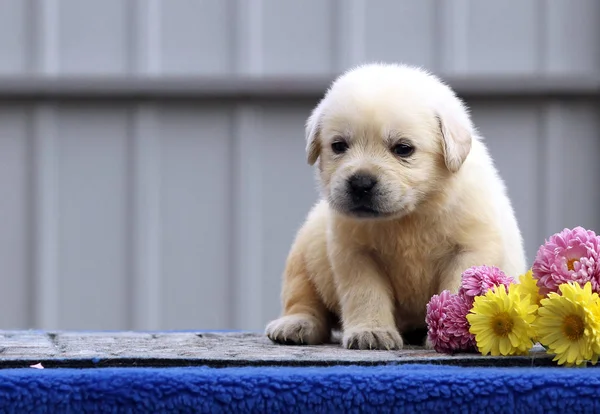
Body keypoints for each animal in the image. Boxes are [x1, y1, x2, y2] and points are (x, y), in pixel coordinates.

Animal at [264, 63, 524, 350]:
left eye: (403, 149)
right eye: (339, 146)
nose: (361, 183)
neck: (410, 215)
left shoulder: (470, 250)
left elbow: (457, 291)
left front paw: (456, 332)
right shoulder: (356, 255)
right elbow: (366, 294)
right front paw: (371, 331)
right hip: (304, 254)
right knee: (303, 299)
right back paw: (296, 324)